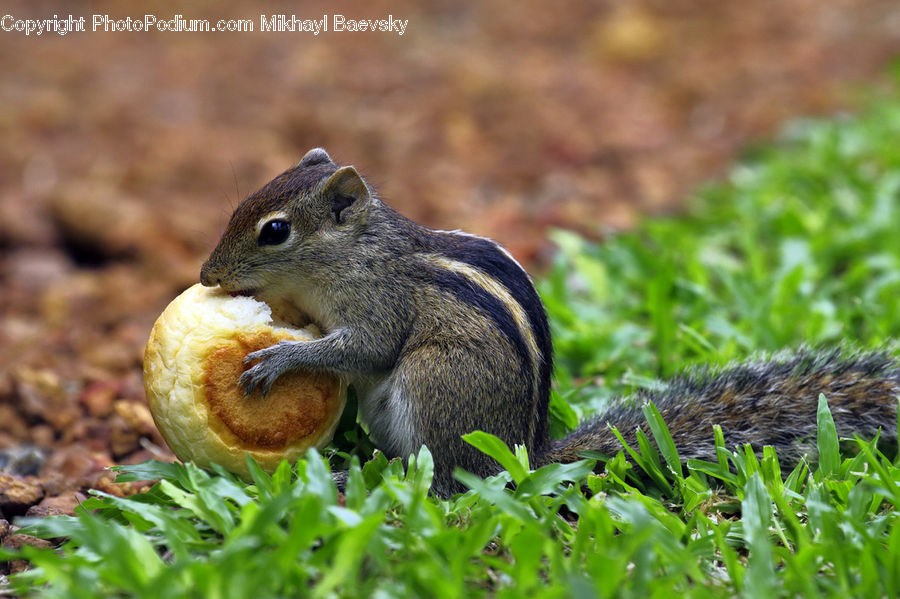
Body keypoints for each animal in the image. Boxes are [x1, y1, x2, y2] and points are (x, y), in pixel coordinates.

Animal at [200, 148, 900, 496]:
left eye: (275, 231)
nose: (207, 274)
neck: (357, 253)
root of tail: (528, 456)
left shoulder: (380, 305)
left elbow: (364, 350)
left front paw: (280, 359)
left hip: (433, 384)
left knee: (443, 478)